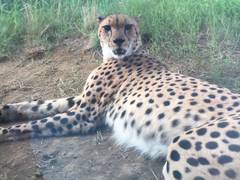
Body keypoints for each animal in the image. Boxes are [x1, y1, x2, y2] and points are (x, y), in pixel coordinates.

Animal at [0, 14, 240, 180]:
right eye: (107, 28)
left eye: (128, 27)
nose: (118, 41)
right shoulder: (82, 103)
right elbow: (43, 104)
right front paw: (5, 111)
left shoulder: (83, 115)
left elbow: (35, 123)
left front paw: (3, 131)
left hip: (184, 146)